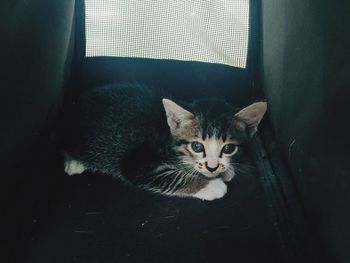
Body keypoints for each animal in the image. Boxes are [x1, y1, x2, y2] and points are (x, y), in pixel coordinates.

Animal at [63, 83, 266, 201]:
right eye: (197, 146)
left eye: (229, 148)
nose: (212, 167)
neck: (169, 138)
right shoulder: (135, 162)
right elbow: (172, 177)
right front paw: (211, 185)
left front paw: (225, 170)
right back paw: (74, 163)